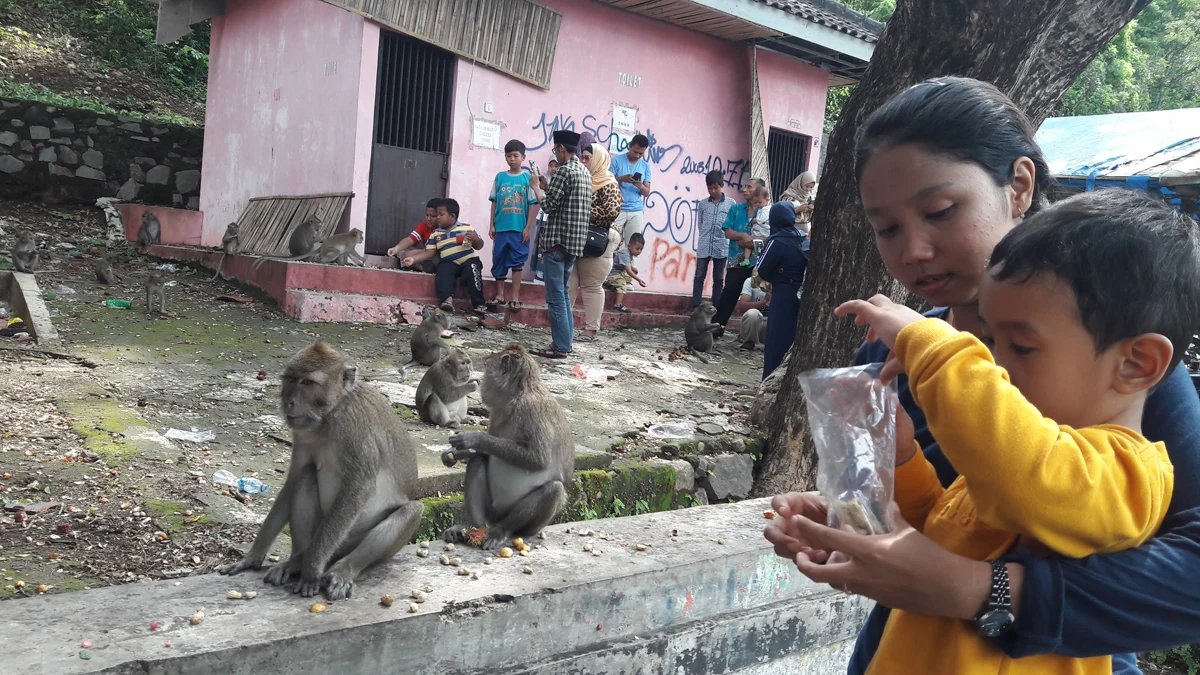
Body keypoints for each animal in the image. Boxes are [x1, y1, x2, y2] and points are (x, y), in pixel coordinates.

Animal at [218, 341, 424, 598]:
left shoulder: (353, 427)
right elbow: (294, 479)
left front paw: (312, 570)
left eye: (307, 383)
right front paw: (252, 557)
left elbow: (358, 488)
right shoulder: (301, 434)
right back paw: (296, 561)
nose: (289, 401)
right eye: (291, 380)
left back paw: (342, 569)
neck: (328, 417)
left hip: (341, 543)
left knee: (412, 510)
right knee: (306, 476)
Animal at [444, 343, 573, 550]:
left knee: (554, 490)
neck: (517, 396)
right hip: (492, 511)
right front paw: (452, 455)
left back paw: (502, 531)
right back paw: (473, 527)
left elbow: (539, 459)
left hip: (529, 525)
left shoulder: (531, 410)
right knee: (478, 460)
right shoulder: (496, 413)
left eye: (487, 368)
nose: (481, 384)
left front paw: (474, 439)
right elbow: (483, 454)